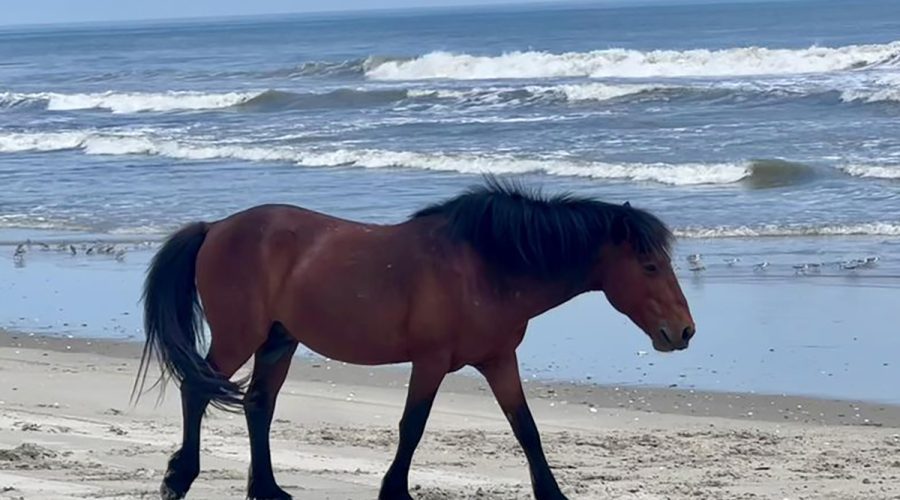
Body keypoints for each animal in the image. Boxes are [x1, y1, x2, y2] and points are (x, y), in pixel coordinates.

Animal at [135, 179, 696, 500]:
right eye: (649, 266)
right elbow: (412, 427)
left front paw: (553, 494)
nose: (684, 331)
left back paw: (268, 490)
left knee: (258, 405)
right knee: (198, 390)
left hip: (279, 341)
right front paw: (394, 491)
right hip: (240, 337)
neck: (485, 267)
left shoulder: (499, 361)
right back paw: (179, 479)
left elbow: (527, 430)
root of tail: (216, 228)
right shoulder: (430, 362)